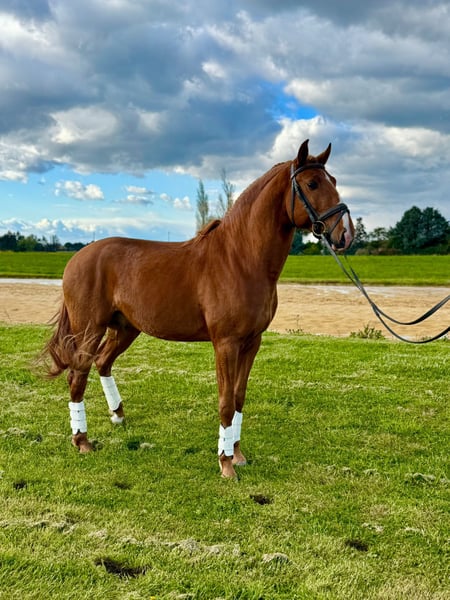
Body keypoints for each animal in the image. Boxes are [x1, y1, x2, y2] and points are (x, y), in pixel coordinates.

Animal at [43, 139, 354, 479]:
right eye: (312, 184)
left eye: (334, 180)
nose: (345, 234)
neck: (241, 259)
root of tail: (77, 258)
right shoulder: (226, 344)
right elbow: (225, 402)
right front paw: (226, 464)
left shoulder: (252, 343)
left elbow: (239, 397)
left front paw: (238, 454)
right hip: (90, 328)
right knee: (78, 374)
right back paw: (82, 441)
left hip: (125, 328)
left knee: (102, 363)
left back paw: (118, 417)